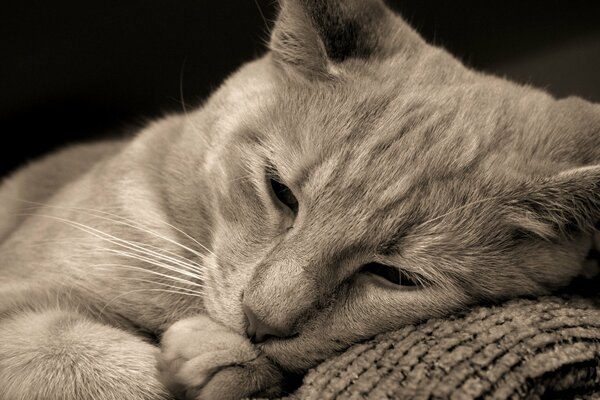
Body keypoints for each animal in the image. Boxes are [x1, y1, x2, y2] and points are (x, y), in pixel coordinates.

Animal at [1, 0, 600, 400]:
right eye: (280, 192)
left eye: (397, 276)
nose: (260, 320)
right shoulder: (26, 303)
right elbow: (93, 366)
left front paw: (220, 362)